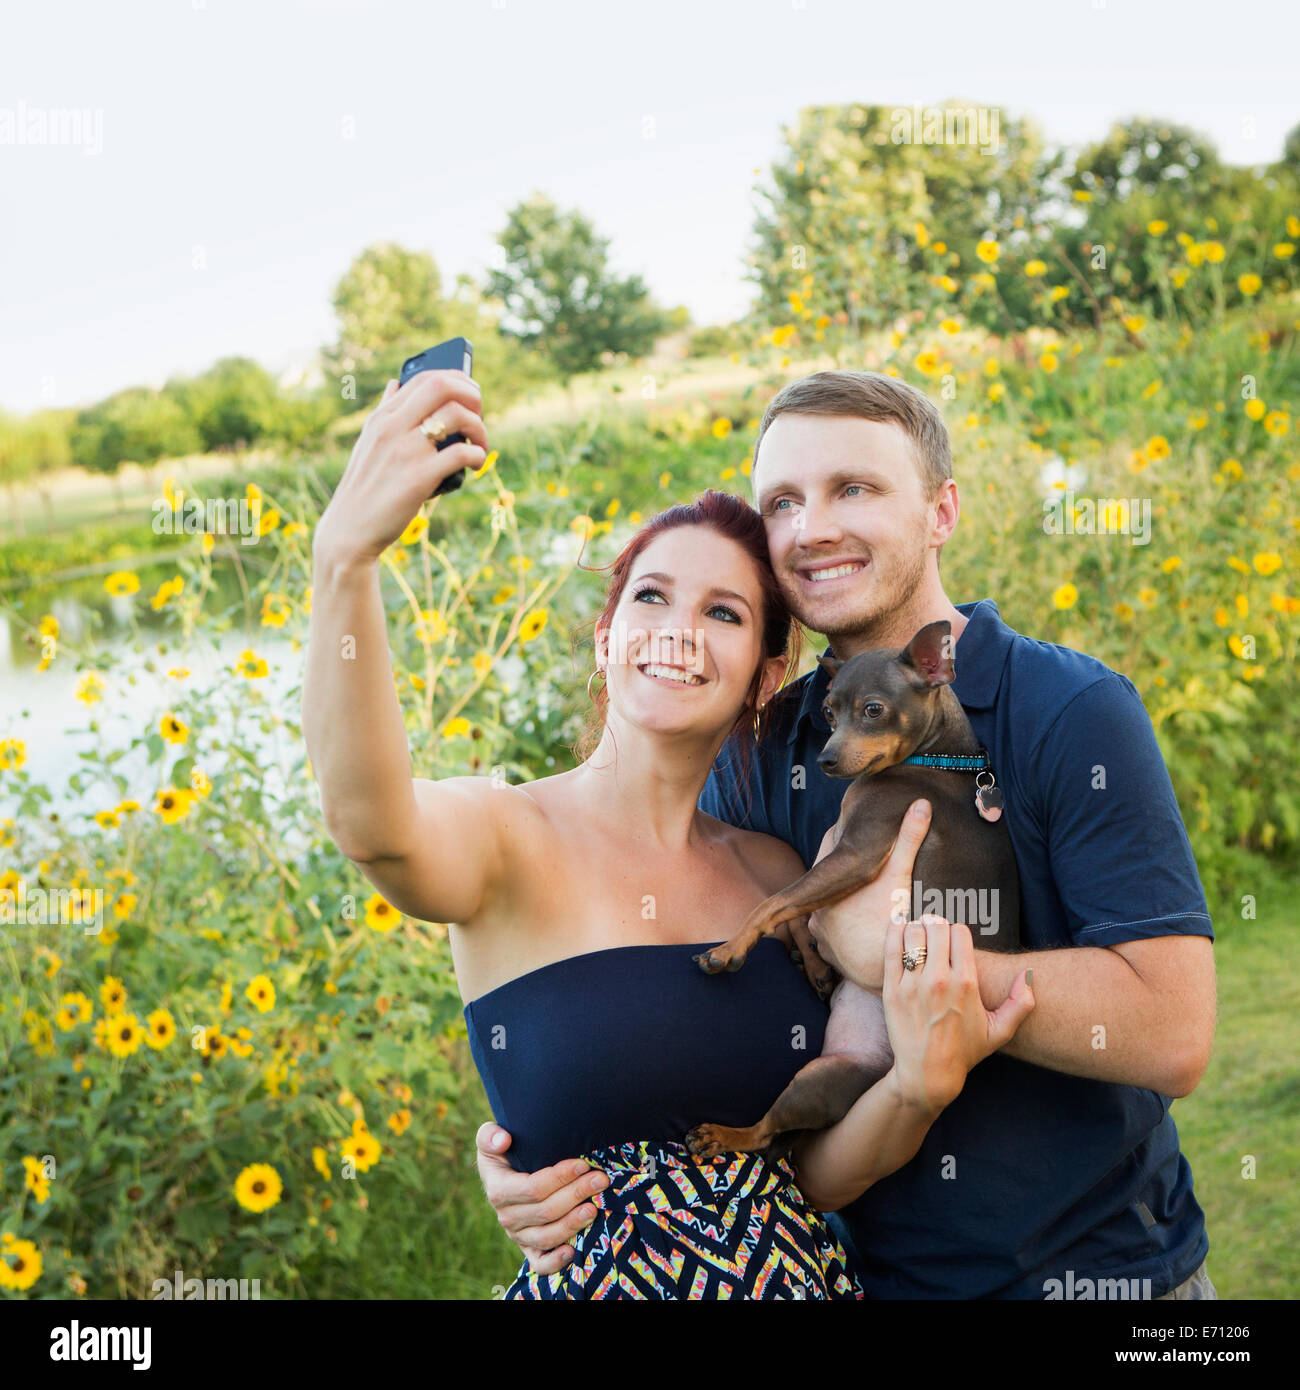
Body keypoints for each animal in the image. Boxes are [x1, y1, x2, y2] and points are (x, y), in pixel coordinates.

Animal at [686, 622, 1023, 1162]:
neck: (938, 758)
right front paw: (815, 964)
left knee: (765, 1134)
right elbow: (794, 908)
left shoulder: (857, 854)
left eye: (873, 710)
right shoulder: (833, 859)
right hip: (823, 1073)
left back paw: (724, 1134)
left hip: (816, 1082)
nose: (825, 759)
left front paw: (729, 950)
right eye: (828, 713)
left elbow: (773, 901)